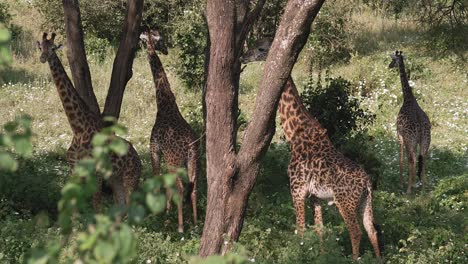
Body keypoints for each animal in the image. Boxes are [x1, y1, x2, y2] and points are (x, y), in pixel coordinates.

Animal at [36, 33, 141, 209]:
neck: (78, 128)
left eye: (53, 48)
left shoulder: (95, 172)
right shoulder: (73, 169)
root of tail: (139, 159)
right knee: (122, 206)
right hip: (116, 179)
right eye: (40, 47)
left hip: (130, 178)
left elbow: (96, 204)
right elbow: (73, 202)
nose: (43, 58)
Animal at [139, 28, 197, 232]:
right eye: (161, 40)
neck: (165, 105)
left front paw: (158, 215)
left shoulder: (154, 150)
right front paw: (166, 213)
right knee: (194, 187)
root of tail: (189, 145)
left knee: (180, 187)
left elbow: (157, 181)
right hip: (192, 160)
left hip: (174, 161)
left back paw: (180, 227)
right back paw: (196, 223)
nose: (166, 50)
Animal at [239, 38, 382, 260]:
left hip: (345, 202)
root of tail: (367, 181)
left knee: (356, 231)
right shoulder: (315, 197)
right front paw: (321, 256)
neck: (295, 134)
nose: (243, 56)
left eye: (261, 48)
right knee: (372, 230)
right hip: (365, 202)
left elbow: (301, 229)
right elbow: (319, 229)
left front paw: (299, 255)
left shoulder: (297, 190)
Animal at [390, 50, 430, 194]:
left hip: (410, 140)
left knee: (412, 158)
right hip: (425, 141)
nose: (389, 66)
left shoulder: (400, 135)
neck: (408, 98)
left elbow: (402, 160)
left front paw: (402, 183)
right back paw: (423, 189)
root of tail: (420, 127)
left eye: (393, 60)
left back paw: (408, 189)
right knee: (423, 158)